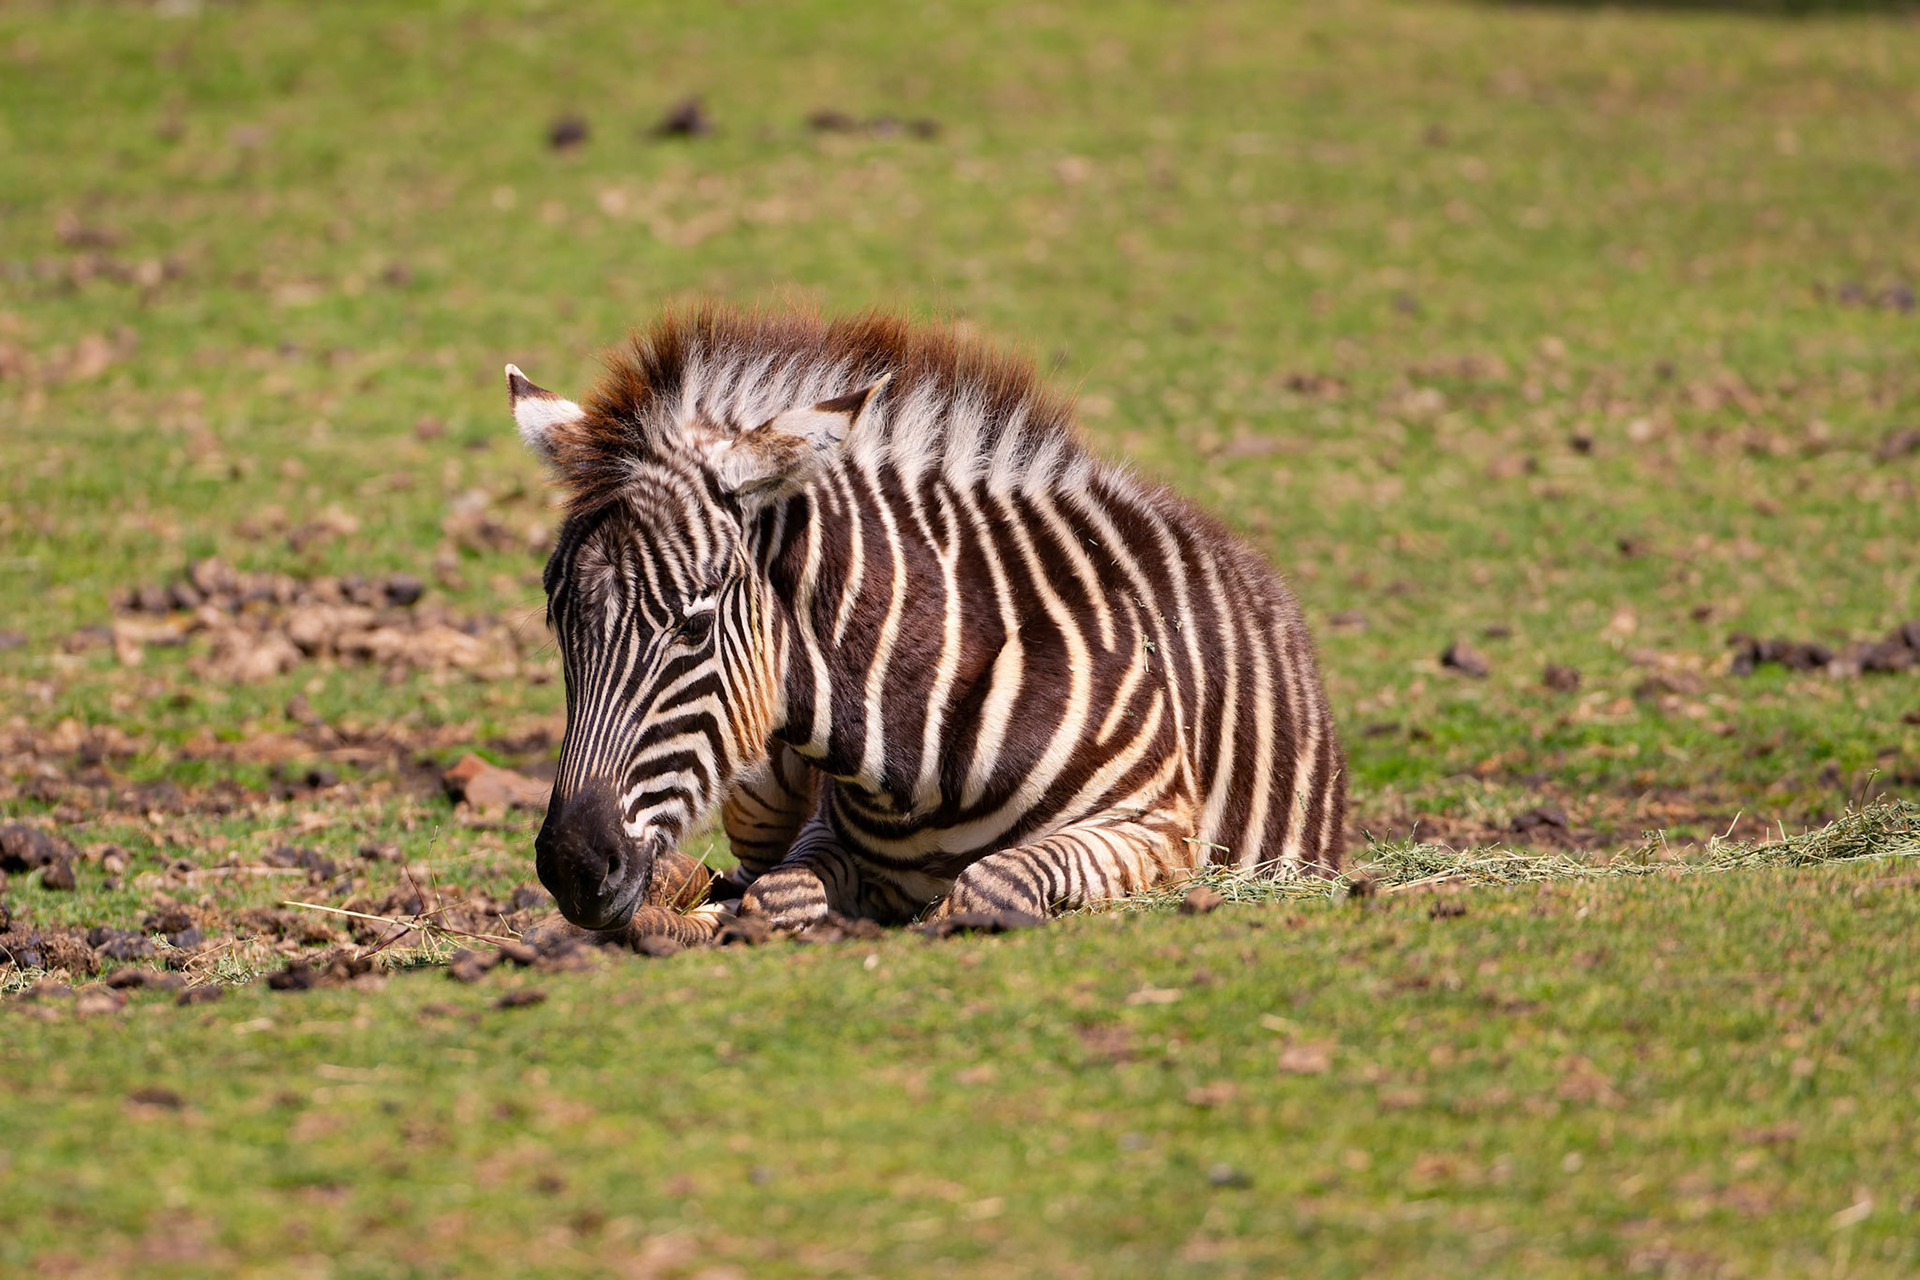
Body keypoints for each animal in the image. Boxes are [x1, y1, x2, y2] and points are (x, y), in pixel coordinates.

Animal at [508, 307, 1345, 933]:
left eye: (692, 628)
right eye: (558, 625)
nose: (573, 870)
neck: (918, 754)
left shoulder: (1157, 829)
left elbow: (990, 884)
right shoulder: (819, 831)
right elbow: (776, 893)